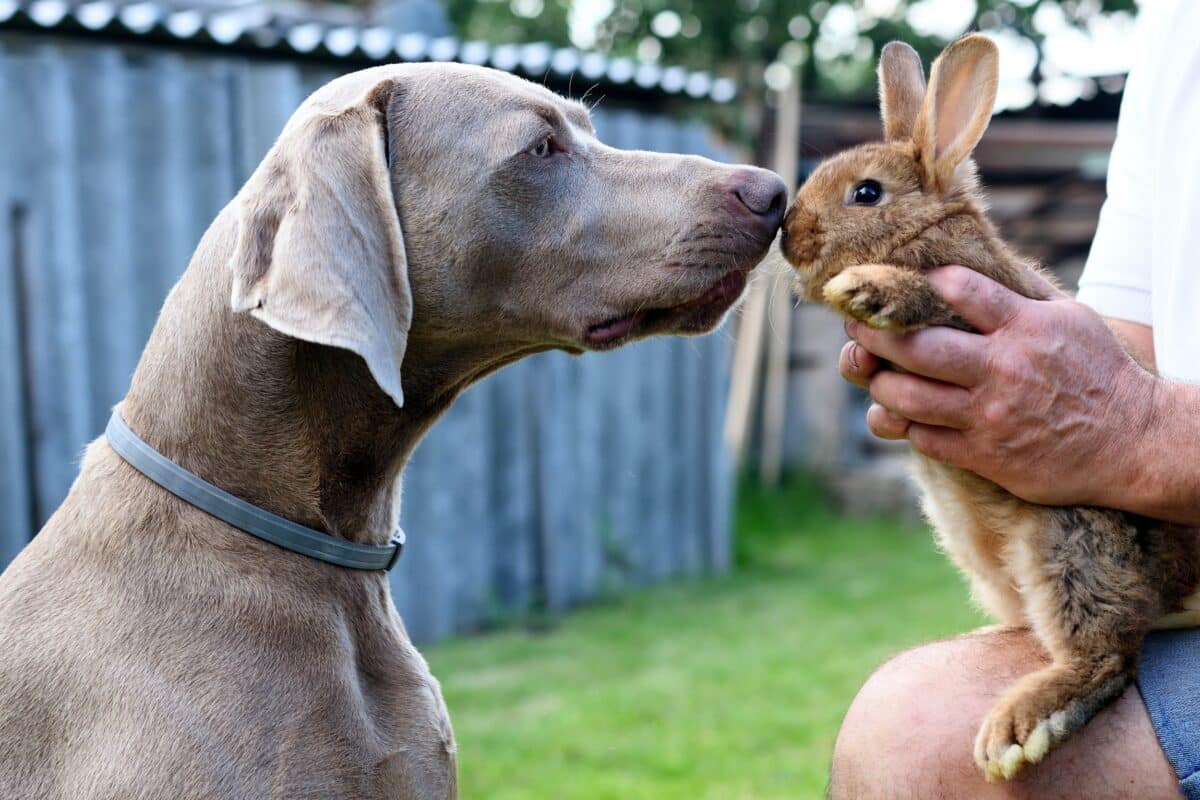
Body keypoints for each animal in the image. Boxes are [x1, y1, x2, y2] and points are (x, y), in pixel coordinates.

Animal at [779, 33, 1200, 781]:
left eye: (866, 193)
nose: (788, 236)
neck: (926, 230)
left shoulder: (972, 302)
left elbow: (923, 297)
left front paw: (870, 289)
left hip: (1071, 536)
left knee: (1109, 655)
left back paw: (1022, 726)